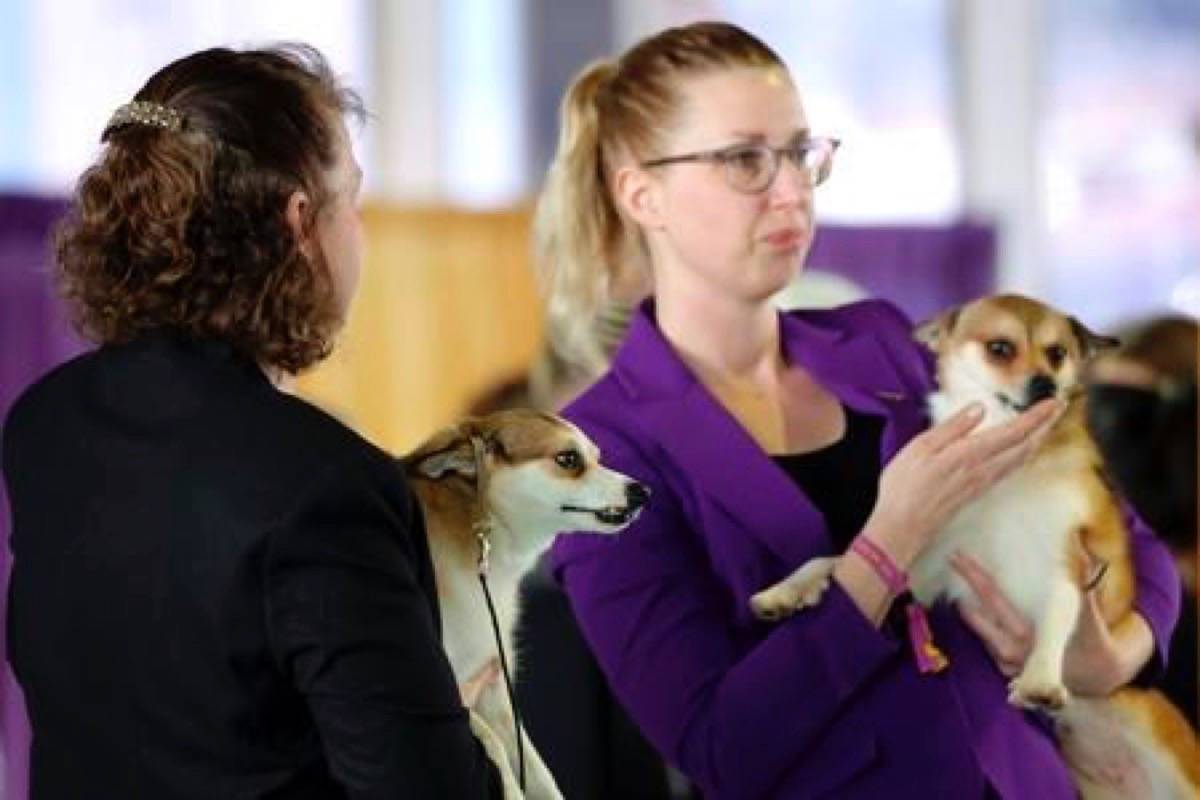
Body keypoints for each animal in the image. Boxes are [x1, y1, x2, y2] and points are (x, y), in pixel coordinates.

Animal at [400, 412, 648, 800]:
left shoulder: (496, 689)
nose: (643, 492)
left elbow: (538, 774)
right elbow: (496, 751)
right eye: (568, 459)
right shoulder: (450, 697)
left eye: (597, 457)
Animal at [748, 296, 1200, 800]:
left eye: (1057, 354)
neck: (1008, 468)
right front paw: (785, 592)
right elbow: (834, 559)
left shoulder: (1065, 566)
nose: (1045, 383)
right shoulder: (927, 572)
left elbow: (1057, 617)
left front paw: (1041, 679)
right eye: (1000, 349)